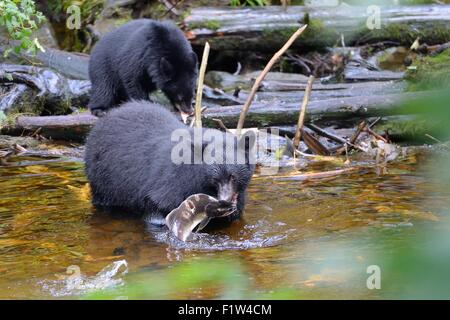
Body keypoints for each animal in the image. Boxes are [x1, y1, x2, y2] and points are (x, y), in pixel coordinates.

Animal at [83, 101, 255, 224]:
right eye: (215, 179)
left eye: (233, 177)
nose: (224, 200)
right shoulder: (174, 180)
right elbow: (159, 203)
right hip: (102, 177)